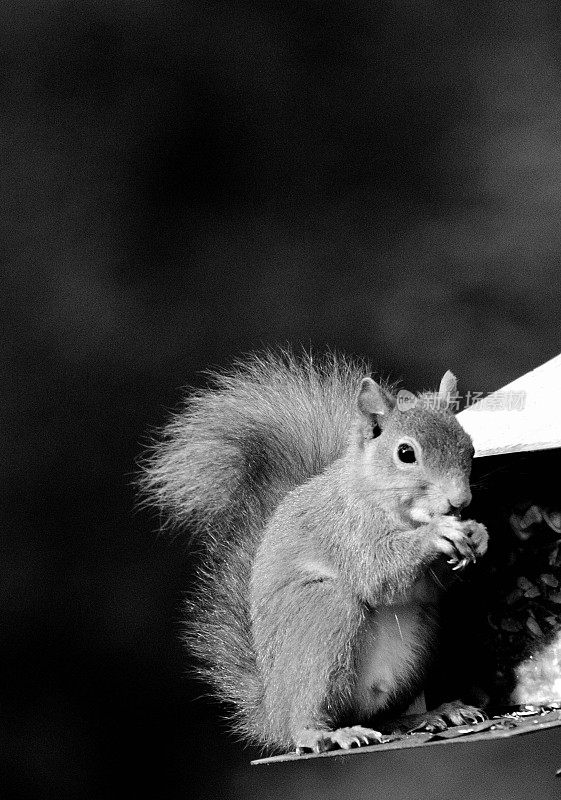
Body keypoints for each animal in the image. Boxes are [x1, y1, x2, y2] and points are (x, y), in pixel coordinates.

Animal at [142, 352, 488, 756]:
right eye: (406, 453)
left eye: (470, 448)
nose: (460, 501)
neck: (375, 492)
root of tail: (271, 713)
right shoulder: (346, 530)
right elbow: (376, 573)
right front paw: (437, 534)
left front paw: (477, 534)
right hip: (322, 614)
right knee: (307, 720)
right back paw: (325, 733)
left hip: (421, 635)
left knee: (379, 715)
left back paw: (431, 714)